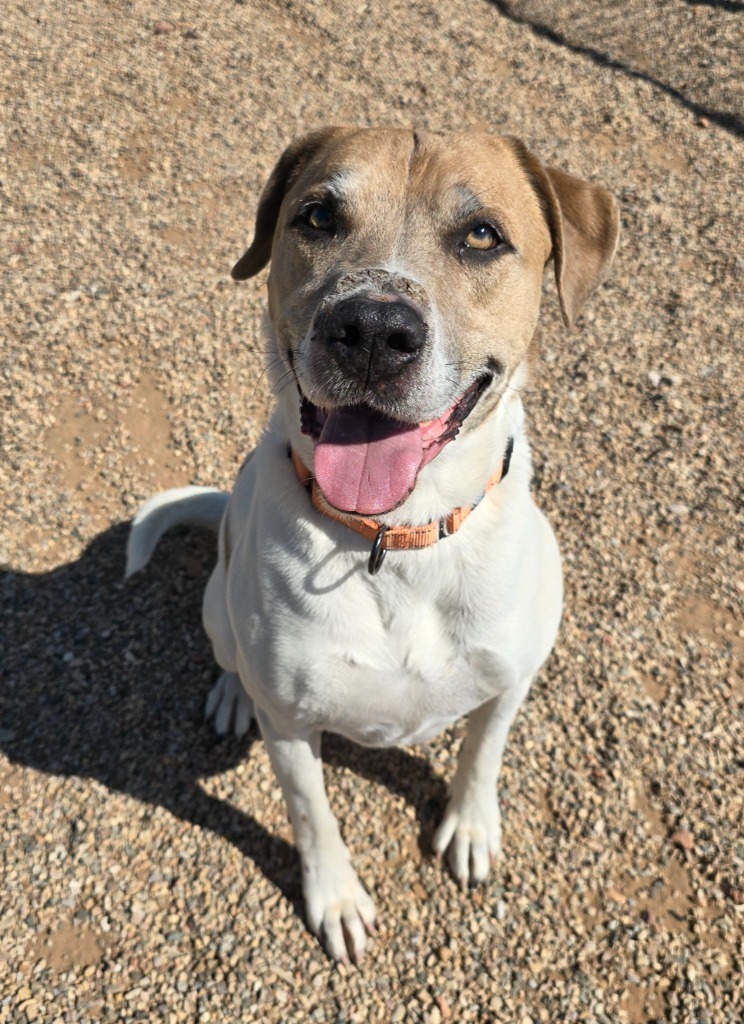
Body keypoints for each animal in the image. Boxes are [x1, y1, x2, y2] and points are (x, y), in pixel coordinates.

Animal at [126, 128, 618, 958]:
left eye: (482, 235)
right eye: (318, 216)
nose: (372, 334)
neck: (396, 538)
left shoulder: (512, 677)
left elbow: (483, 754)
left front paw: (470, 829)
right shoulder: (292, 725)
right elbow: (311, 814)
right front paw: (335, 900)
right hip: (219, 609)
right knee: (229, 649)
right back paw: (232, 693)